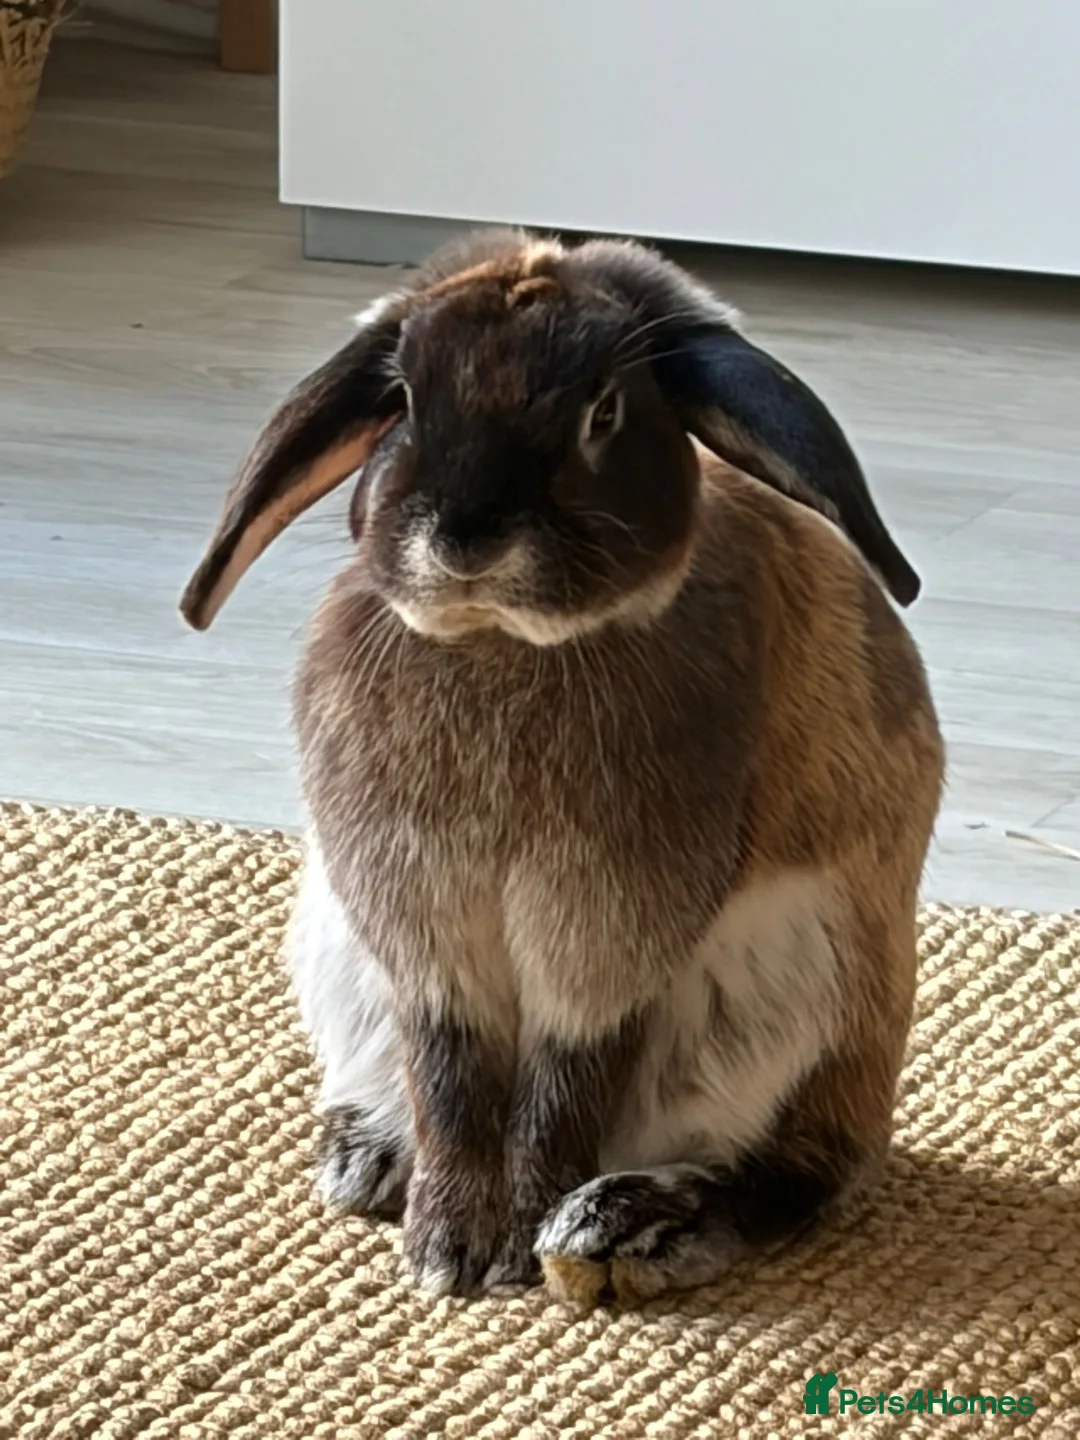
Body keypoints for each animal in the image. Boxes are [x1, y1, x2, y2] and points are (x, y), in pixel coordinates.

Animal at [180, 230, 944, 1305]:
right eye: (404, 398)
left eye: (605, 412)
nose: (465, 536)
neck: (502, 642)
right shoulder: (424, 938)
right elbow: (452, 1083)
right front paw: (446, 1247)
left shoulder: (603, 940)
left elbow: (564, 1083)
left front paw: (508, 1246)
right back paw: (369, 1157)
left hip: (806, 989)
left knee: (791, 1177)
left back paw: (620, 1226)